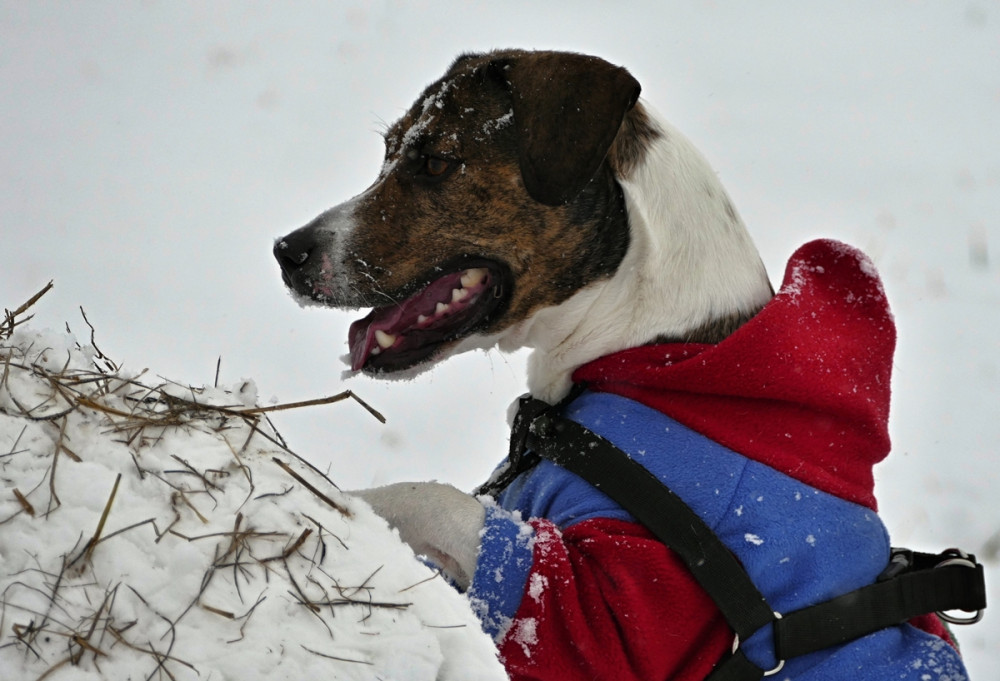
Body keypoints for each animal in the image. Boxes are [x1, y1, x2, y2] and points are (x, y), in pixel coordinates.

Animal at [274, 51, 968, 680]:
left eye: (438, 161)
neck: (645, 345)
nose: (287, 251)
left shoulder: (620, 613)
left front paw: (331, 499)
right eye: (389, 151)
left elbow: (432, 498)